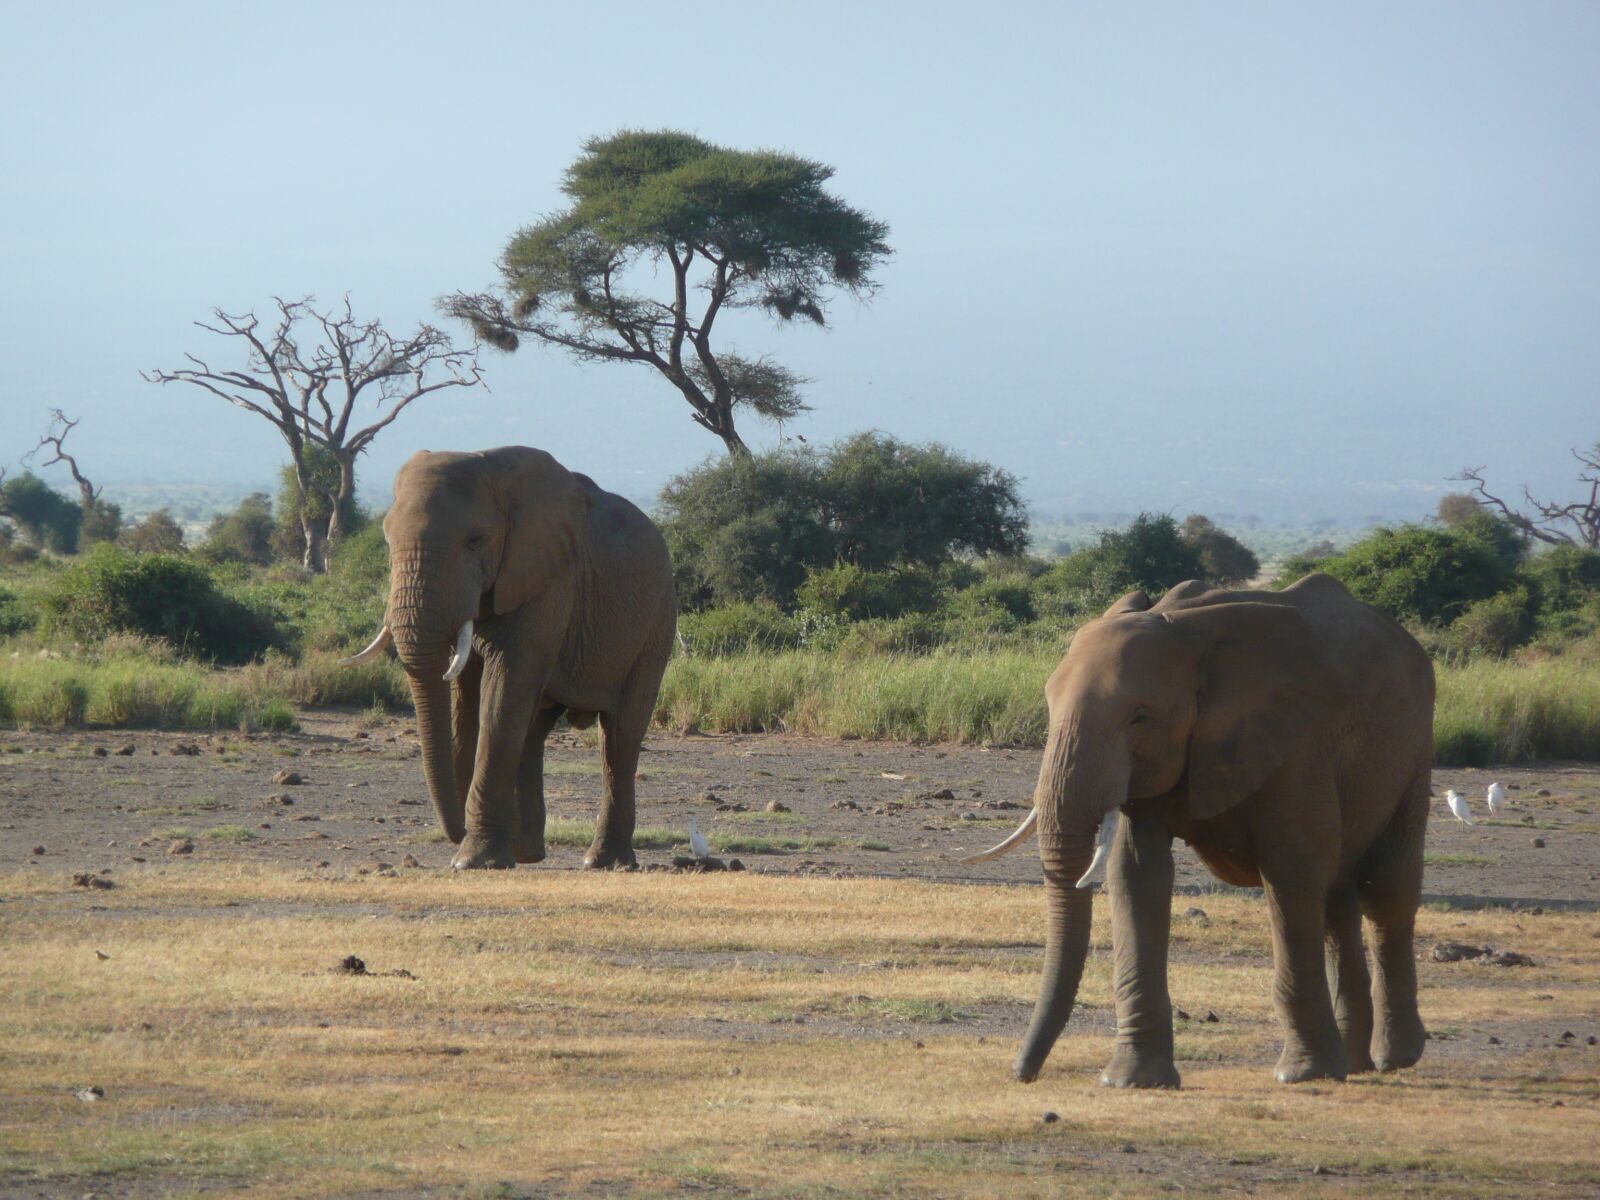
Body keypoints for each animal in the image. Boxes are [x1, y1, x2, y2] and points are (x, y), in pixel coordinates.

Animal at [342, 448, 675, 870]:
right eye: (386, 540)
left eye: (475, 540)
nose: (456, 832)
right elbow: (466, 694)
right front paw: (481, 852)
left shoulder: (549, 581)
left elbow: (503, 689)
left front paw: (472, 860)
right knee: (534, 727)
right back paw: (526, 853)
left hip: (657, 622)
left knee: (619, 737)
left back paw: (603, 862)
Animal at [960, 572, 1440, 1088]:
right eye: (1049, 704)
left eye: (1140, 717)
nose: (1022, 1074)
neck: (1186, 633)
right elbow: (1136, 873)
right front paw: (1134, 1081)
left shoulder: (1296, 742)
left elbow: (1292, 873)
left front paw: (1301, 1074)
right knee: (1337, 898)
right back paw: (1353, 1064)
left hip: (1414, 750)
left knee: (1384, 889)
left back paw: (1394, 1057)